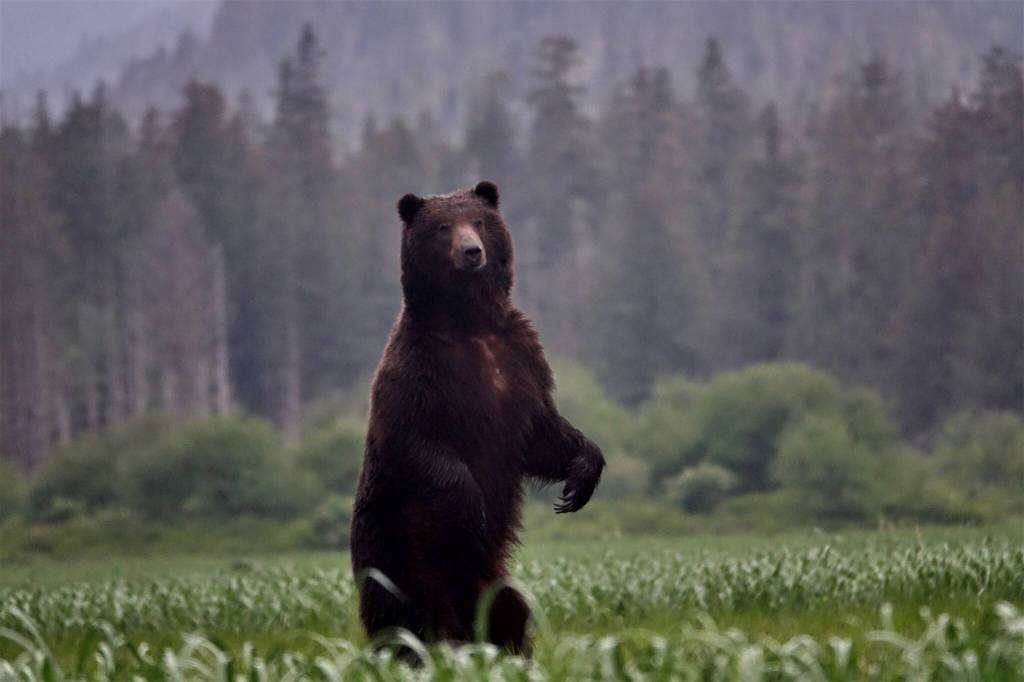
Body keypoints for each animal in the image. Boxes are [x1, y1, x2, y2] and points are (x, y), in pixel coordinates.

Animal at [350, 181, 606, 655]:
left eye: (479, 221)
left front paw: (582, 475)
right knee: (410, 623)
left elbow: (541, 434)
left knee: (511, 609)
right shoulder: (417, 373)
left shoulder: (520, 360)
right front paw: (472, 510)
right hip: (399, 552)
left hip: (490, 577)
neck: (468, 323)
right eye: (443, 226)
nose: (471, 251)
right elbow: (416, 443)